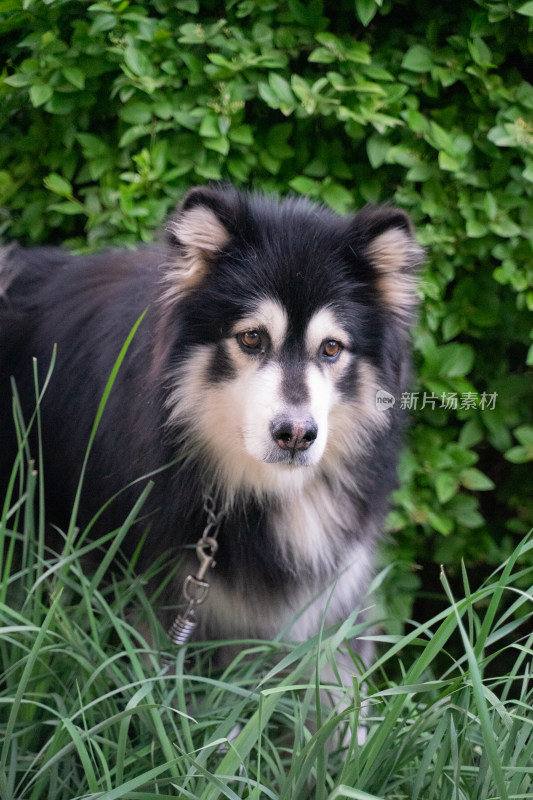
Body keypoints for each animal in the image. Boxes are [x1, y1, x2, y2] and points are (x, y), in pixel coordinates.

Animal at [0, 184, 424, 680]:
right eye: (252, 338)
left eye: (332, 347)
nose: (296, 434)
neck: (259, 492)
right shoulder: (146, 594)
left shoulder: (333, 596)